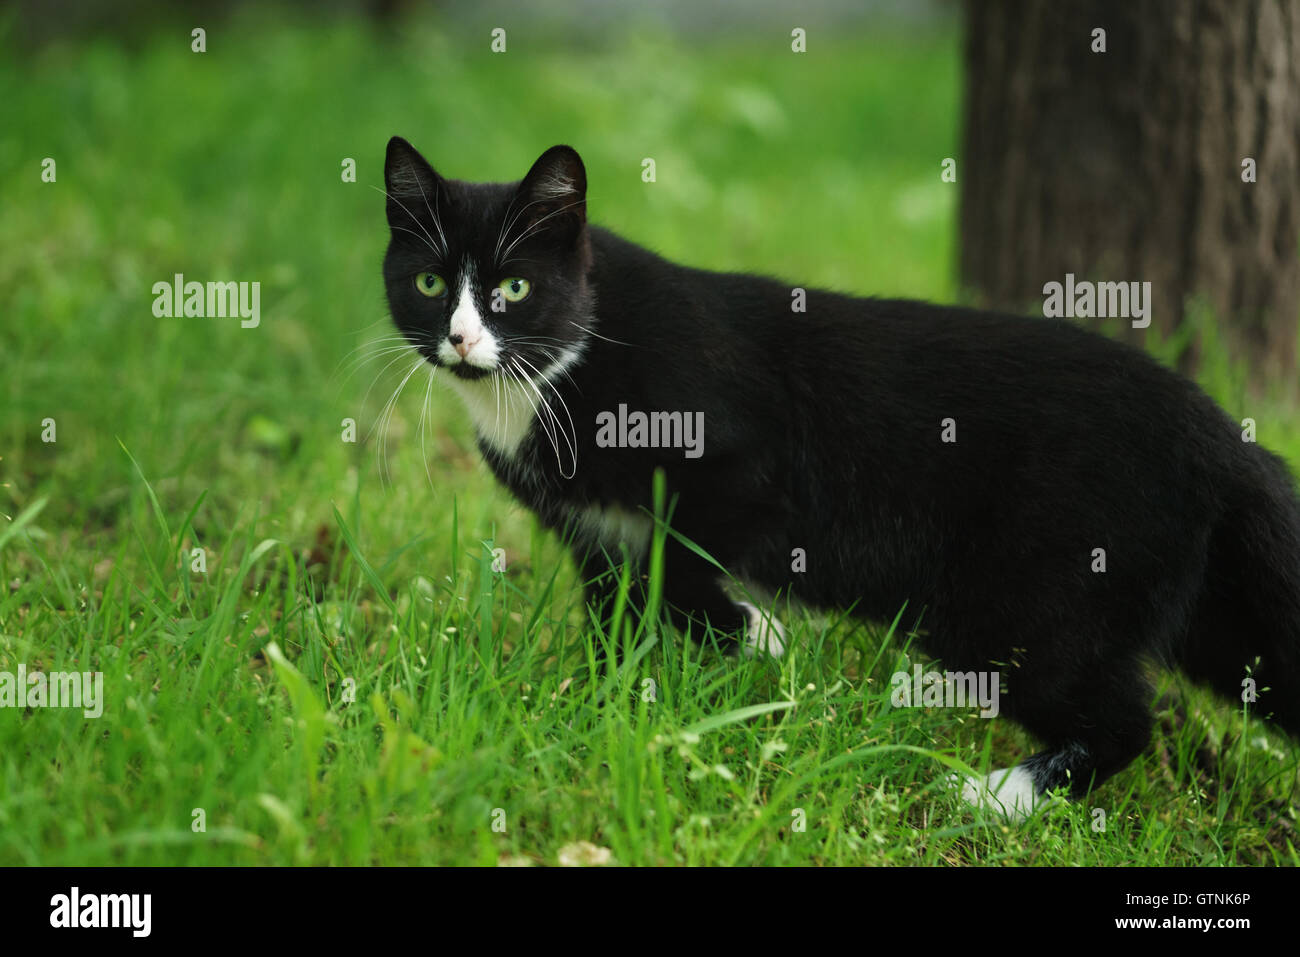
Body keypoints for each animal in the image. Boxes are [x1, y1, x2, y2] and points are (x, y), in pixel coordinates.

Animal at [379, 136, 1300, 816]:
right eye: (428, 281)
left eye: (512, 287)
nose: (460, 338)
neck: (552, 376)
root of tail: (1225, 439)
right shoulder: (593, 535)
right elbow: (619, 611)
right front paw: (614, 698)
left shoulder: (747, 460)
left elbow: (682, 559)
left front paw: (759, 636)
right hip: (1199, 604)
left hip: (1038, 587)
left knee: (1122, 716)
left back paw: (995, 792)